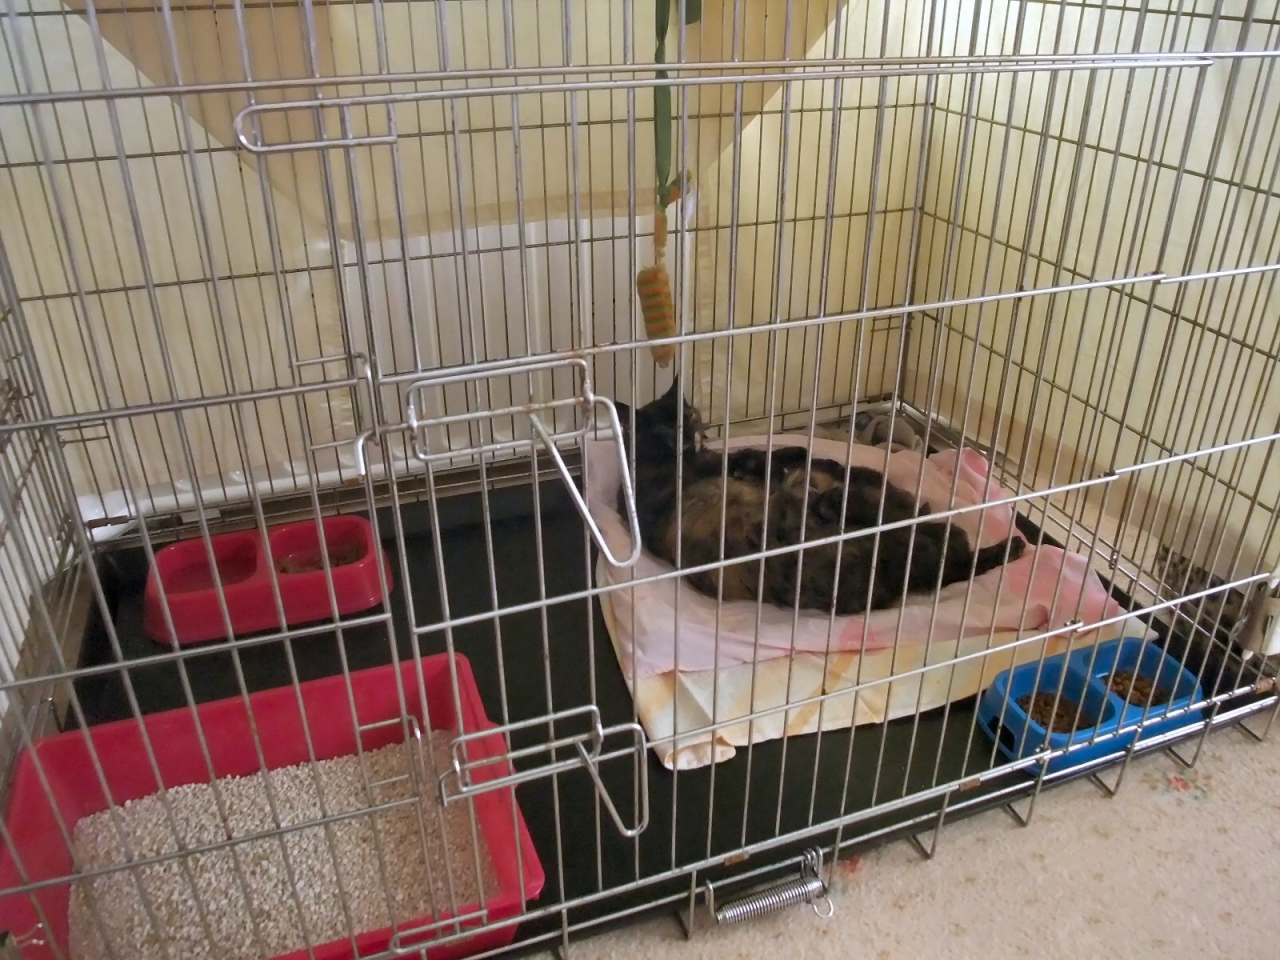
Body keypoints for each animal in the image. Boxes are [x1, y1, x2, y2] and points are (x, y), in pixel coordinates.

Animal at [613, 378, 1026, 614]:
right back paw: (1011, 545)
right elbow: (760, 455)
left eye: (689, 415)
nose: (690, 436)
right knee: (950, 550)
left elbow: (763, 457)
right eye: (665, 429)